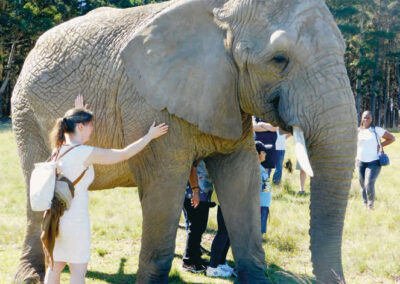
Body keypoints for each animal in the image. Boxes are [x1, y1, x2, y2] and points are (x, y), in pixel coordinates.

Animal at [11, 0, 356, 282]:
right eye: (279, 59)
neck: (224, 15)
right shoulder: (149, 105)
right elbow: (164, 186)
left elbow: (242, 179)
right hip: (25, 112)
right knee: (36, 196)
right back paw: (29, 275)